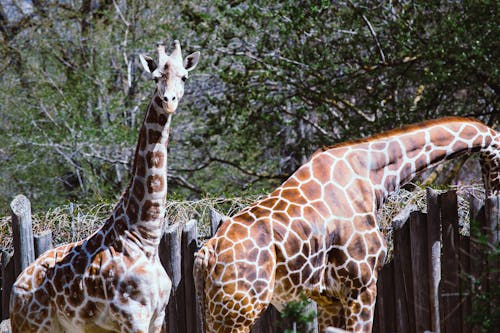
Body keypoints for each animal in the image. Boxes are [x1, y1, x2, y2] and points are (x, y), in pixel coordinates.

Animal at [8, 40, 200, 330]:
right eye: (156, 77)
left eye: (184, 76)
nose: (169, 101)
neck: (146, 238)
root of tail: (14, 289)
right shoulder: (132, 316)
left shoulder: (158, 317)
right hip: (33, 326)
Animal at [193, 115, 498, 330]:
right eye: (493, 162)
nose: (492, 194)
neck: (373, 175)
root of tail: (206, 253)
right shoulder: (362, 285)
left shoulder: (328, 297)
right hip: (239, 312)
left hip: (214, 311)